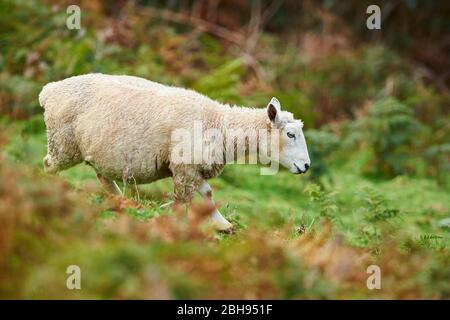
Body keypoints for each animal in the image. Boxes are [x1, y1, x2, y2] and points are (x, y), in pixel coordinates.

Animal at [38, 74, 310, 231]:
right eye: (290, 134)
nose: (306, 166)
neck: (219, 124)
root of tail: (48, 91)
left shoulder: (193, 168)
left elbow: (208, 194)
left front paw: (223, 225)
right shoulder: (184, 168)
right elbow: (184, 201)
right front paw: (175, 222)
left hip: (95, 150)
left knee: (103, 176)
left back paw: (121, 202)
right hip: (63, 143)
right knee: (48, 165)